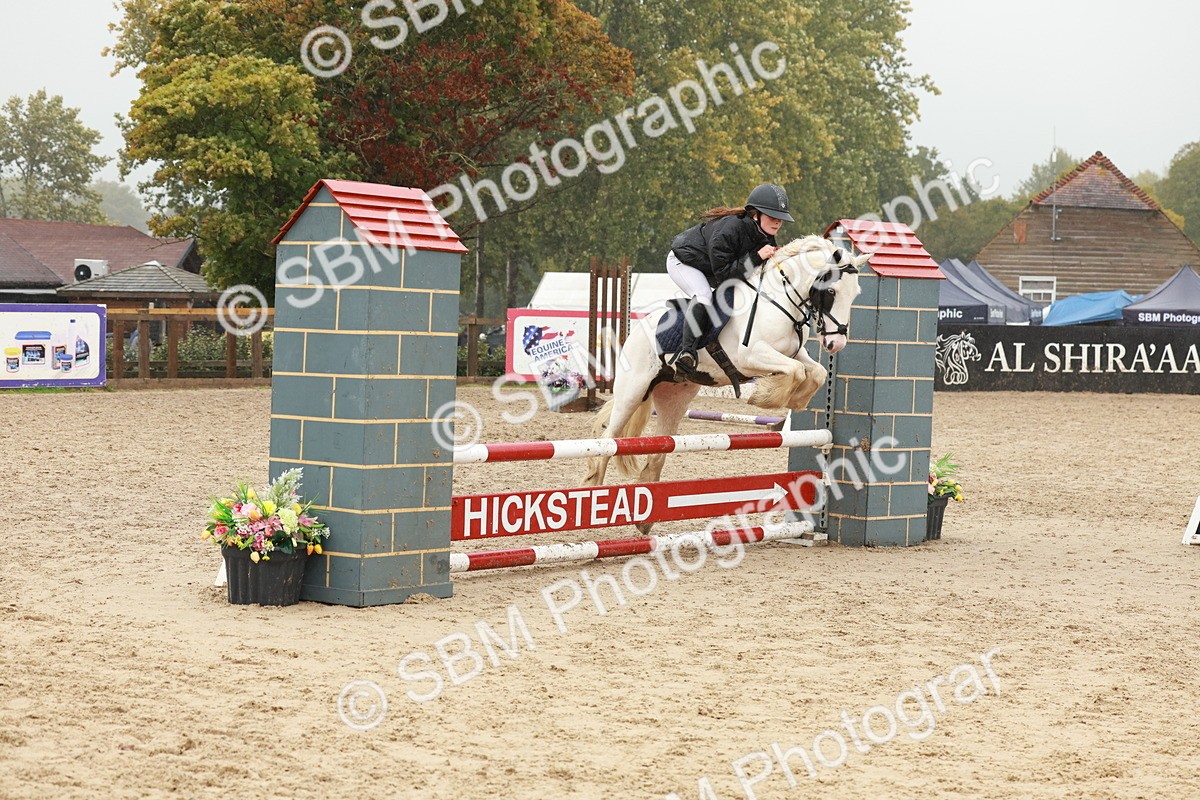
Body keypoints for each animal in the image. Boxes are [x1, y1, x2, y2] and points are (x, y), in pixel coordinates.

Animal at [583, 235, 870, 500]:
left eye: (855, 294)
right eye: (831, 292)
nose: (836, 343)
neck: (779, 299)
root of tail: (638, 329)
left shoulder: (794, 353)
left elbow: (816, 372)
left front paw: (795, 400)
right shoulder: (750, 355)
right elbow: (795, 371)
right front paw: (764, 397)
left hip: (674, 397)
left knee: (659, 448)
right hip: (633, 392)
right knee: (607, 440)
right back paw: (592, 488)